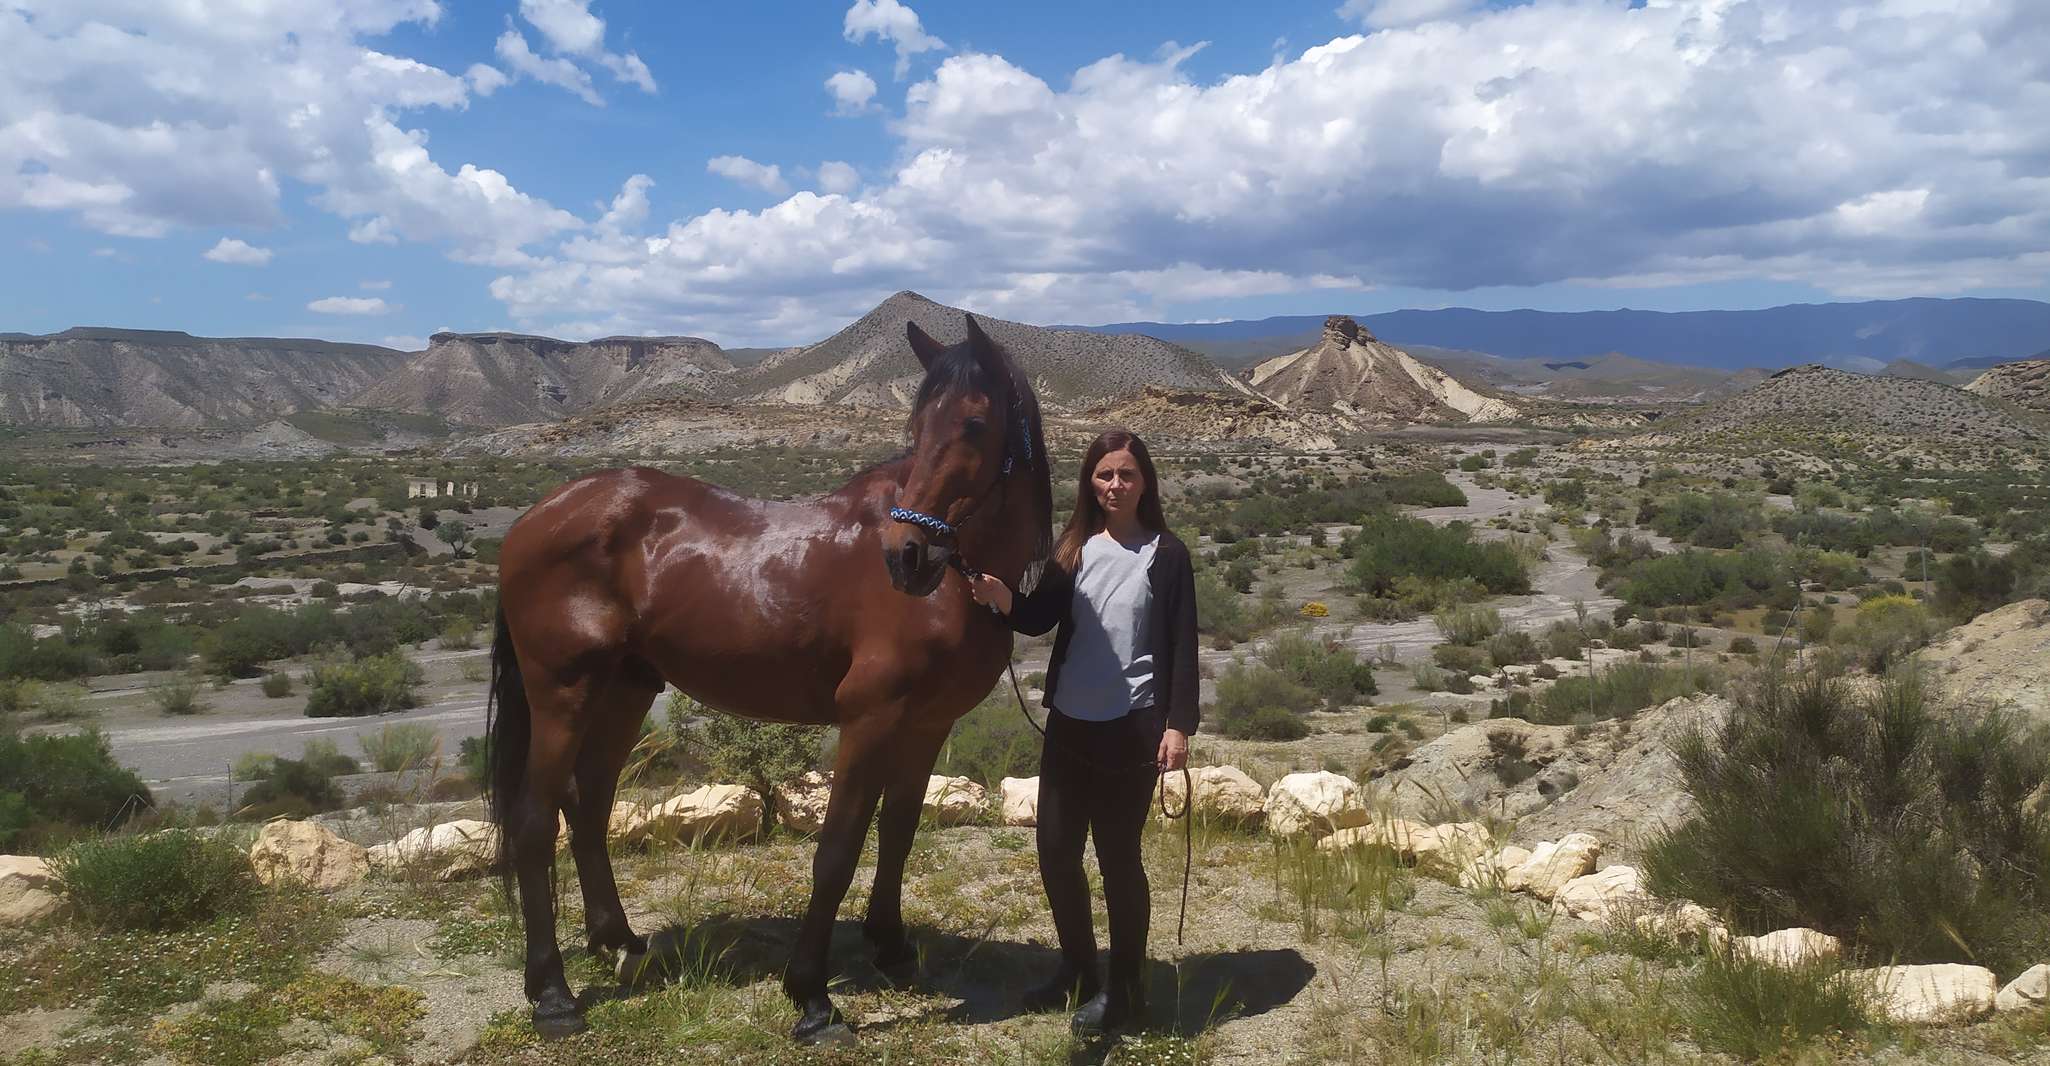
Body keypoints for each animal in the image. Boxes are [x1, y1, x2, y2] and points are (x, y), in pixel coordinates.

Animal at [483, 313, 1054, 1045]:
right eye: (917, 425)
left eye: (975, 424)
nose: (907, 556)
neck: (961, 584)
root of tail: (536, 518)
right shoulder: (869, 718)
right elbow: (837, 850)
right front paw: (812, 997)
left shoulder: (927, 724)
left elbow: (899, 832)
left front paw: (892, 948)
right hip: (563, 693)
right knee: (535, 821)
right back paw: (552, 994)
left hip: (624, 690)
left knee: (588, 806)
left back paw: (621, 945)